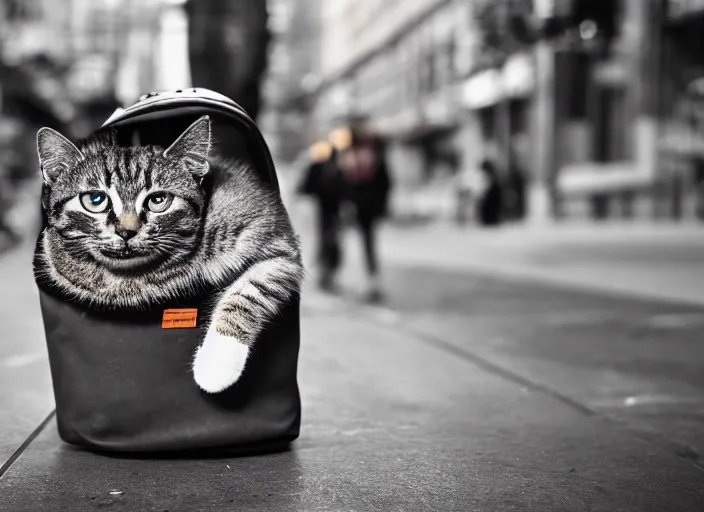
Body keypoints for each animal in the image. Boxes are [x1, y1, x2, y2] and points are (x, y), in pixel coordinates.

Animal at [33, 116, 302, 394]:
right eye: (95, 199)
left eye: (159, 200)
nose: (127, 231)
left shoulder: (275, 240)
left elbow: (251, 290)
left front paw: (217, 361)